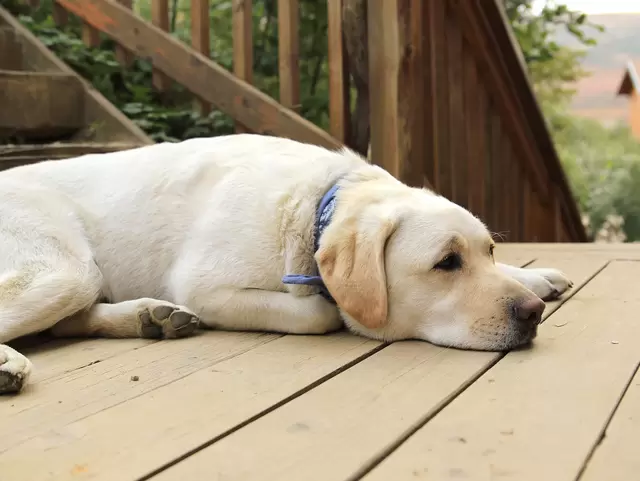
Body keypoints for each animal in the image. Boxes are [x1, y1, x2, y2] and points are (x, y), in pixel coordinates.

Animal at [0, 134, 568, 394]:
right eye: (446, 263)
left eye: (487, 250)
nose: (533, 313)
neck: (318, 205)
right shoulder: (206, 287)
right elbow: (319, 312)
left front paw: (536, 275)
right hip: (65, 270)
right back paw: (10, 365)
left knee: (67, 323)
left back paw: (150, 317)